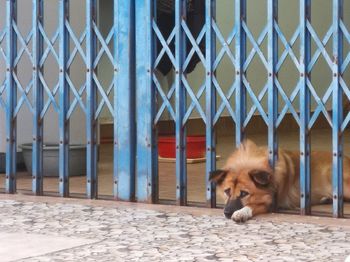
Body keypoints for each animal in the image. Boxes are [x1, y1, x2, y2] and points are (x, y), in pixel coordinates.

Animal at [209, 140, 350, 222]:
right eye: (227, 191)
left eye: (244, 193)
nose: (226, 212)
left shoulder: (271, 203)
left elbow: (252, 205)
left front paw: (241, 213)